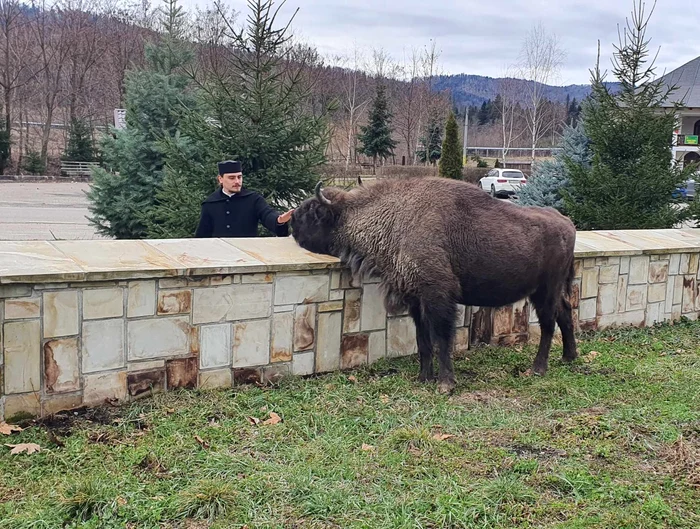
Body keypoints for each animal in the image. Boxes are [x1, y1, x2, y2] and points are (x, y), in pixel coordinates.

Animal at [288, 176, 576, 392]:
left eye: (313, 211)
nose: (290, 223)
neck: (393, 217)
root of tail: (567, 223)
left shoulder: (438, 297)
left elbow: (441, 338)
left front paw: (445, 384)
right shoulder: (416, 300)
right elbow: (423, 340)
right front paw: (423, 377)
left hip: (545, 291)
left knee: (549, 324)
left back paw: (538, 369)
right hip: (551, 291)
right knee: (565, 314)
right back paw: (569, 357)